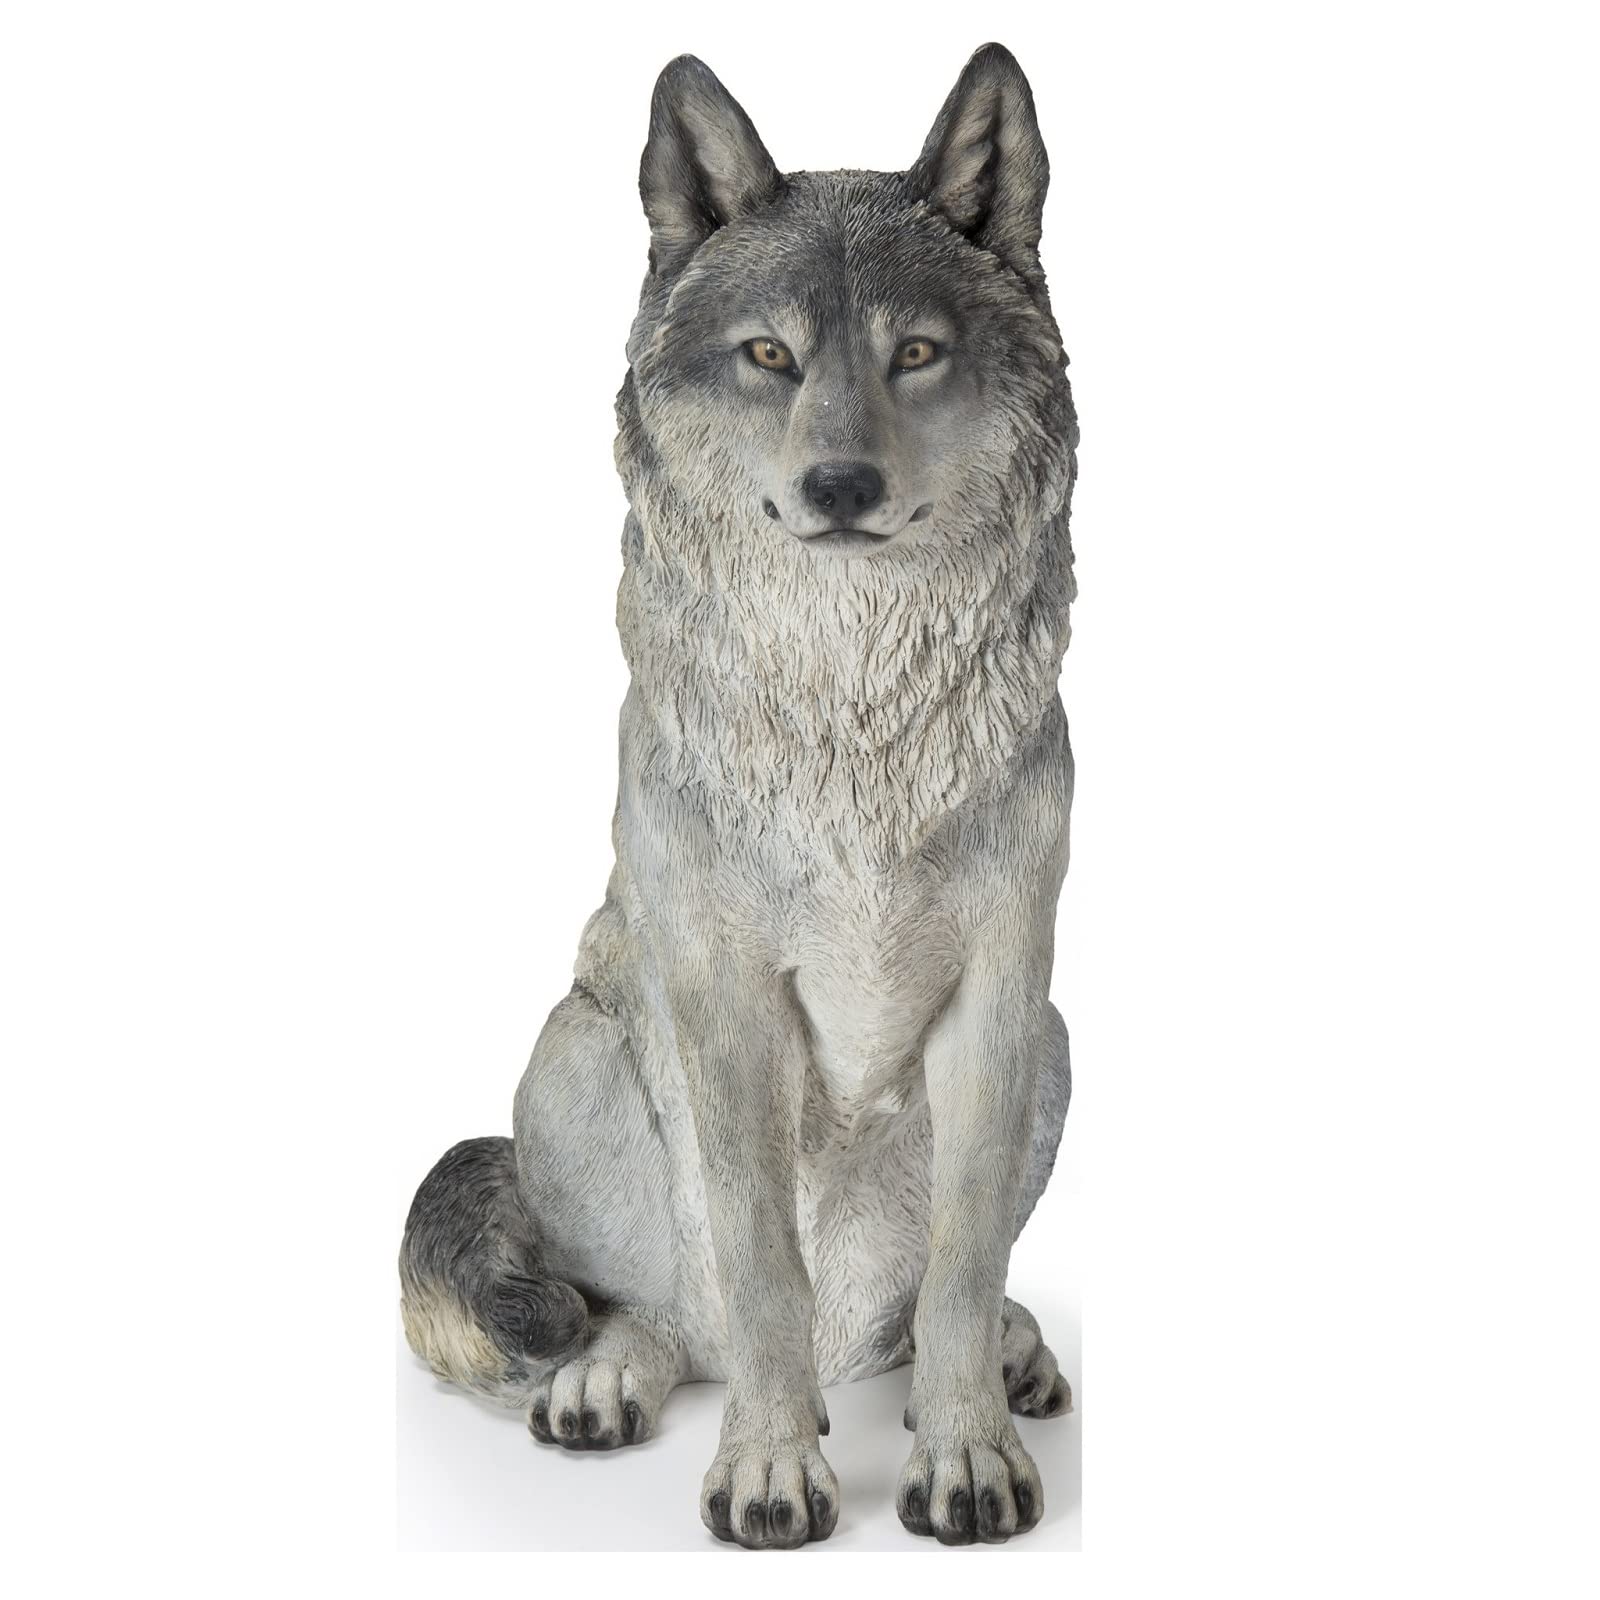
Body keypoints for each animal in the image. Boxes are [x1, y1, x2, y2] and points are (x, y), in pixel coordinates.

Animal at [401, 42, 1079, 1547]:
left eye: (915, 352)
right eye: (770, 356)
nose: (841, 482)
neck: (853, 707)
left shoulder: (1004, 991)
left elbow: (957, 1270)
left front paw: (965, 1453)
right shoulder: (729, 999)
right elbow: (763, 1269)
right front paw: (771, 1469)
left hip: (1060, 1049)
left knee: (917, 1313)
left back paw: (999, 1357)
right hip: (572, 1050)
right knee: (667, 1316)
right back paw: (612, 1380)